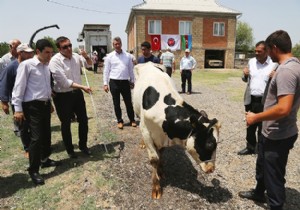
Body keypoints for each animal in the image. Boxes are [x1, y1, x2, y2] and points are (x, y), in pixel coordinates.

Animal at [134, 62, 220, 199]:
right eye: (210, 144)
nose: (211, 169)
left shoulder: (163, 137)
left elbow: (161, 154)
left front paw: (160, 171)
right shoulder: (147, 131)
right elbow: (154, 159)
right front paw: (156, 187)